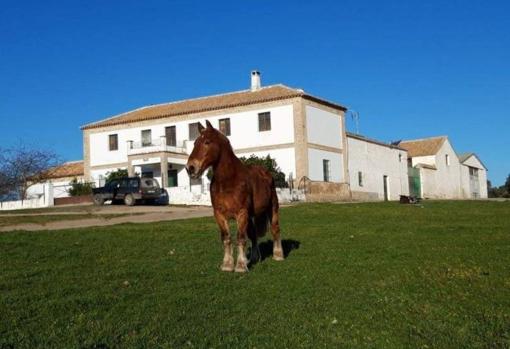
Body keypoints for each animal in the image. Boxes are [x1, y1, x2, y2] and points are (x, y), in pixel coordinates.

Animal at [186, 120, 284, 272]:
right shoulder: (219, 214)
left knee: (275, 229)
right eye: (195, 143)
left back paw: (278, 255)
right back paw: (254, 258)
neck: (228, 181)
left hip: (272, 208)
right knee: (253, 235)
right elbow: (227, 238)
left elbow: (240, 238)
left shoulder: (241, 213)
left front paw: (241, 266)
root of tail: (266, 173)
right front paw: (227, 264)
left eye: (207, 142)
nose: (190, 168)